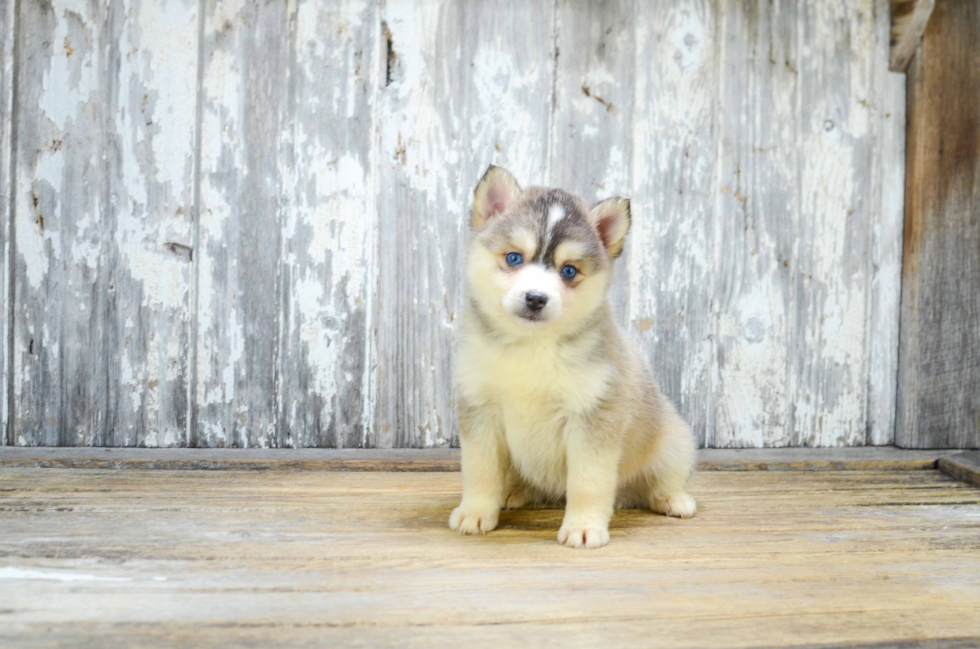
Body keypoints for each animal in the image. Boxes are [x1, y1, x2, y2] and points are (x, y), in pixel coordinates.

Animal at [452, 166, 696, 548]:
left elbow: (588, 482)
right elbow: (480, 470)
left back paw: (673, 499)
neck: (531, 346)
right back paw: (514, 491)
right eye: (513, 258)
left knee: (663, 479)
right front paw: (476, 512)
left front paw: (584, 526)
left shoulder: (592, 419)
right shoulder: (479, 410)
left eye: (568, 271)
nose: (536, 298)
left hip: (675, 441)